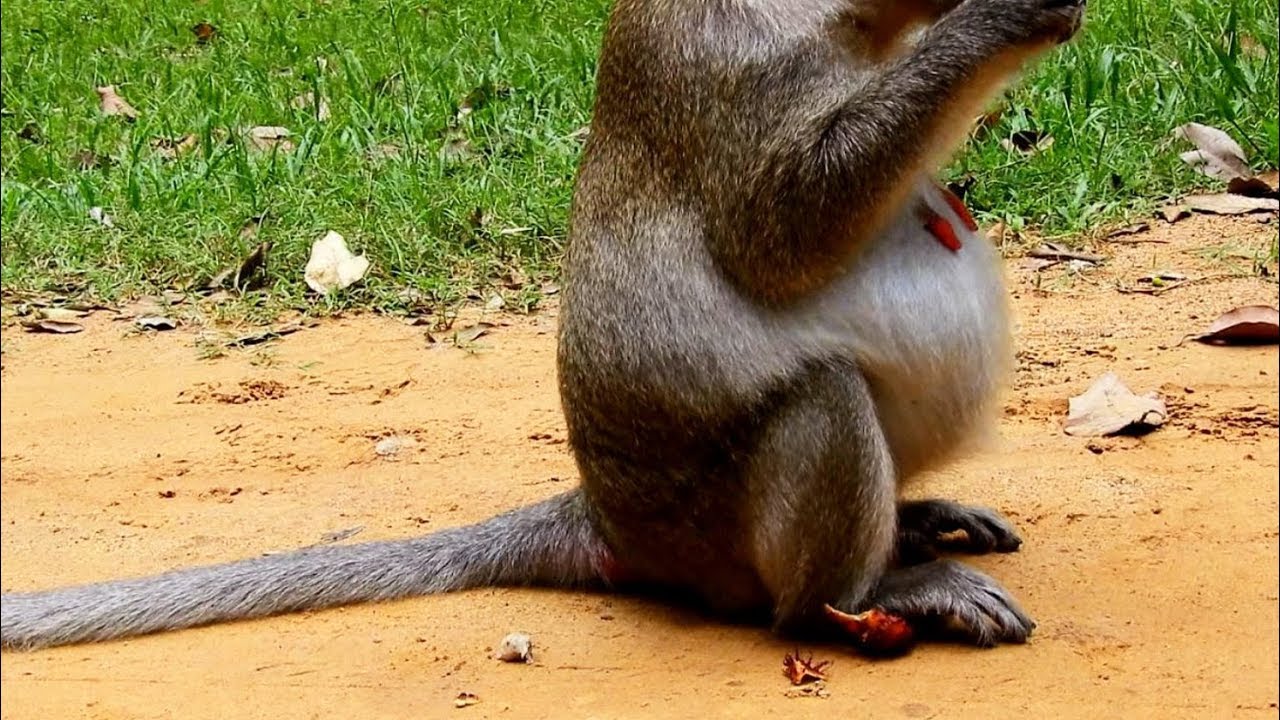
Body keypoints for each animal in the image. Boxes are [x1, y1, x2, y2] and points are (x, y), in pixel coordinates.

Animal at [1, 0, 1085, 652]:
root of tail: (610, 522)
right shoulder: (715, 60)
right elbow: (779, 235)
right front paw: (997, 22)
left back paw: (910, 525)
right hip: (720, 536)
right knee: (819, 409)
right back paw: (863, 598)